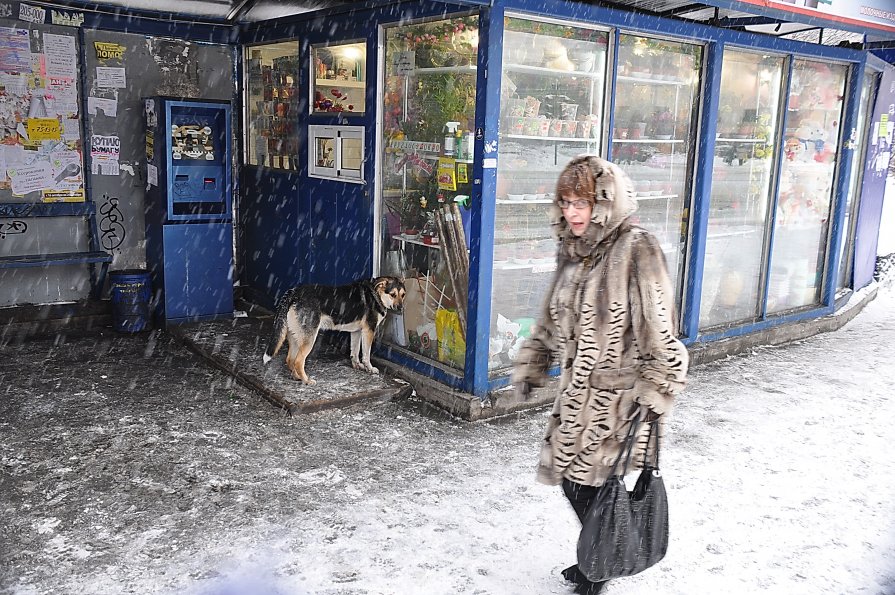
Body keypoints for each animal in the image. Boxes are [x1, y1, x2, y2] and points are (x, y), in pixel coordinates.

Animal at [262, 276, 406, 386]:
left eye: (403, 295)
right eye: (392, 294)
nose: (401, 309)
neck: (376, 294)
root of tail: (294, 292)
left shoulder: (356, 332)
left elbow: (354, 352)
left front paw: (357, 366)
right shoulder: (369, 331)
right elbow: (366, 354)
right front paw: (369, 368)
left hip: (295, 337)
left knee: (290, 360)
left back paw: (296, 377)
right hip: (309, 339)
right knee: (298, 361)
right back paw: (307, 380)